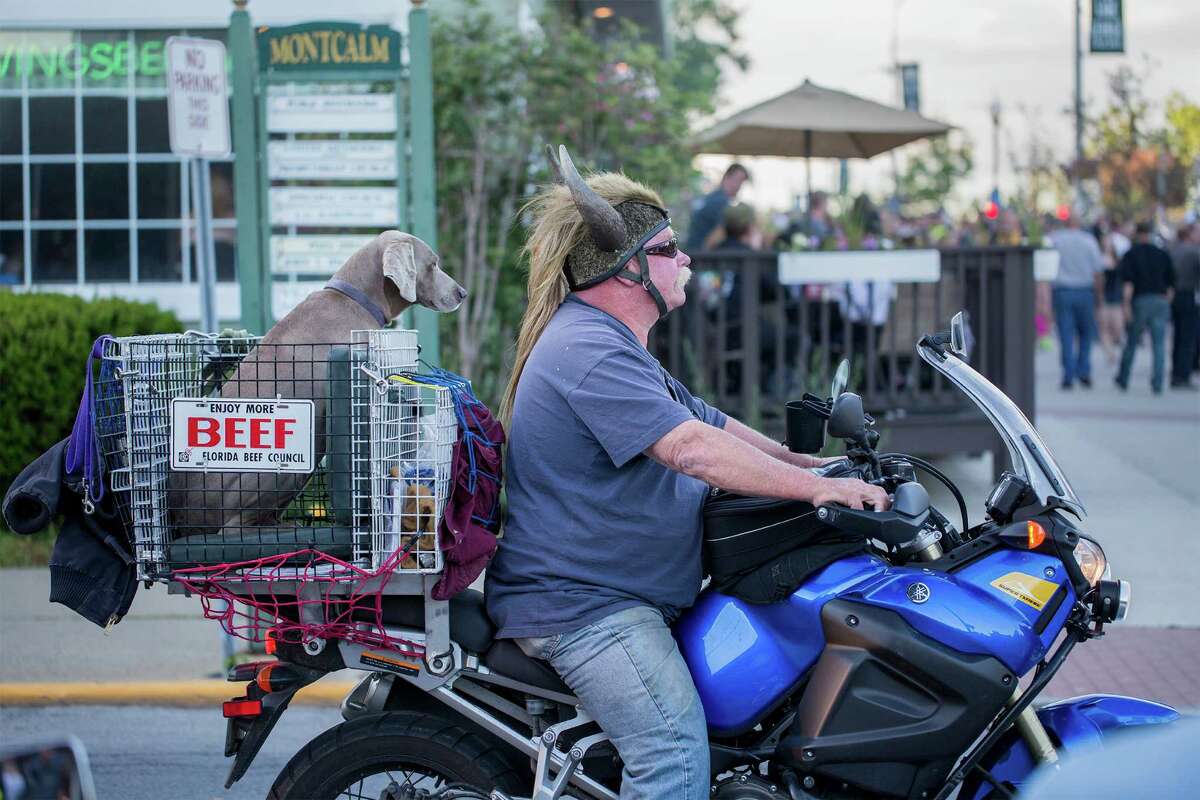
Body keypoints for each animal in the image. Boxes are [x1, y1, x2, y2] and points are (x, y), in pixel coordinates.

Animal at [168, 231, 463, 537]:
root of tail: (182, 518)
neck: (357, 299)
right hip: (283, 468)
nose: (462, 293)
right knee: (232, 528)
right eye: (433, 264)